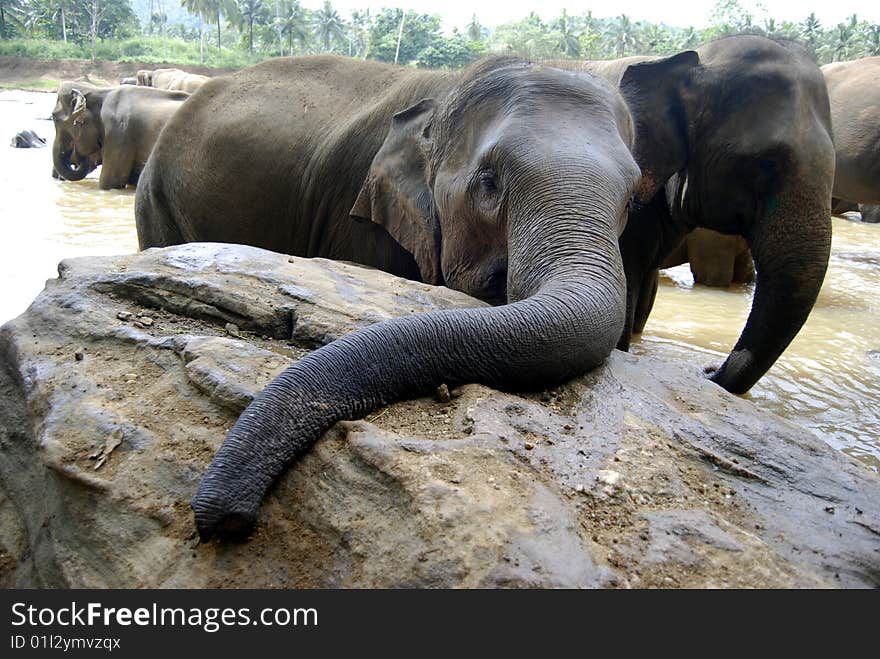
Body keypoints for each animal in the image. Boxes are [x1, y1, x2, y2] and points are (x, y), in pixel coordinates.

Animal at [138, 56, 648, 540]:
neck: (450, 88)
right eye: (488, 181)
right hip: (156, 199)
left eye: (630, 201)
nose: (229, 520)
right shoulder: (359, 213)